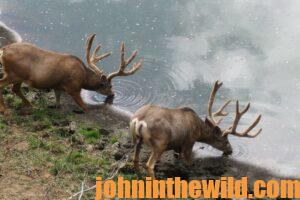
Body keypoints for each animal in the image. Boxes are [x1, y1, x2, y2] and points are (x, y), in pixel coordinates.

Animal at [0, 33, 142, 113]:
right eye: (110, 85)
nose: (112, 94)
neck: (84, 77)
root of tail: (3, 50)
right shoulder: (73, 87)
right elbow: (85, 108)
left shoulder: (57, 86)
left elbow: (58, 101)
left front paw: (56, 107)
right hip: (14, 73)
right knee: (4, 85)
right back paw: (4, 110)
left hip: (18, 76)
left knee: (15, 89)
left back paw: (30, 105)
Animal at [130, 80, 262, 177]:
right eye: (225, 141)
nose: (230, 150)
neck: (199, 131)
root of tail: (138, 120)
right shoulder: (189, 142)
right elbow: (189, 163)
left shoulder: (177, 146)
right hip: (160, 142)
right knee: (149, 165)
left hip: (137, 139)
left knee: (135, 160)